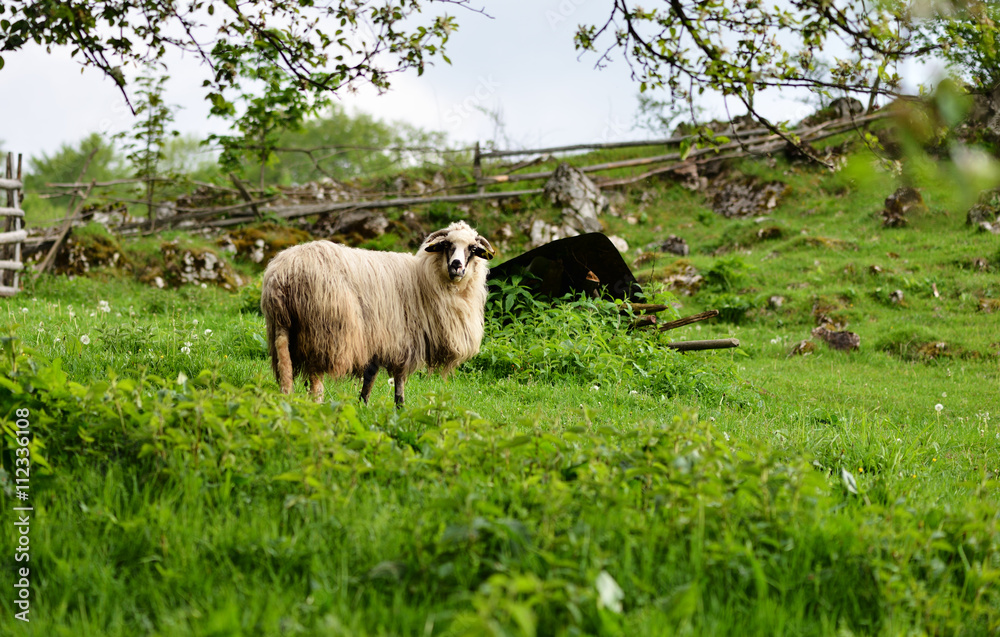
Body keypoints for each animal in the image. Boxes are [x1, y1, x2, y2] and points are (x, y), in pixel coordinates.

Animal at [260, 221, 495, 406]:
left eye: (473, 248)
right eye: (447, 245)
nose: (456, 266)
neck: (424, 279)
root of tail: (284, 273)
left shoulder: (379, 338)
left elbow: (370, 376)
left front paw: (363, 404)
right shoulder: (401, 339)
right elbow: (399, 382)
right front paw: (399, 410)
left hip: (281, 328)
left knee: (285, 375)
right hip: (323, 333)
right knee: (316, 381)